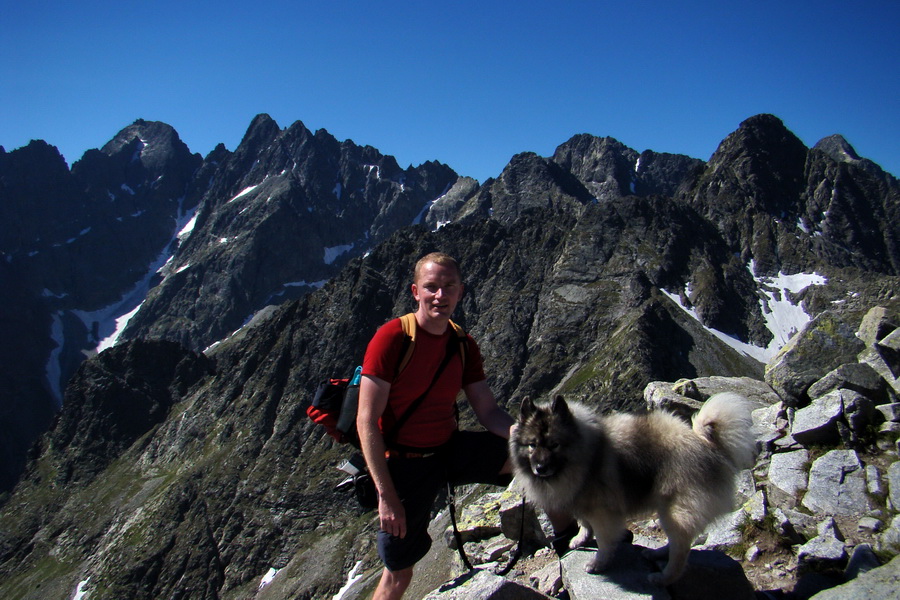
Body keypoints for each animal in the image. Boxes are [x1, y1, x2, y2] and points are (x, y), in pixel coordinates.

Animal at [510, 394, 756, 584]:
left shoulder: (602, 513)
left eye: (554, 445)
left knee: (681, 548)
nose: (540, 468)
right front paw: (580, 539)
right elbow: (584, 524)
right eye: (532, 445)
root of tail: (705, 442)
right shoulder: (581, 501)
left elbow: (604, 542)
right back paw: (656, 553)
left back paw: (664, 577)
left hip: (674, 511)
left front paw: (598, 563)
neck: (586, 455)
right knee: (678, 541)